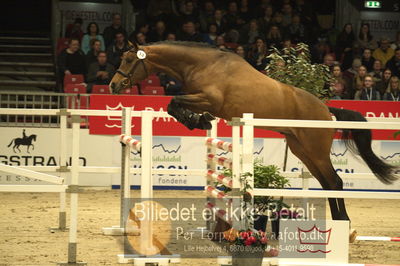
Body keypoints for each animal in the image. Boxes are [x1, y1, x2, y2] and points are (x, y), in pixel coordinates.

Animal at [109, 41, 396, 227]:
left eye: (129, 60)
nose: (113, 85)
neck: (202, 64)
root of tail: (326, 109)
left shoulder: (209, 99)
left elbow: (174, 101)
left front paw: (197, 120)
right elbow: (174, 104)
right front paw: (199, 121)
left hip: (315, 150)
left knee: (335, 182)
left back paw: (343, 222)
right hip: (301, 149)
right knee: (328, 183)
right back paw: (337, 223)